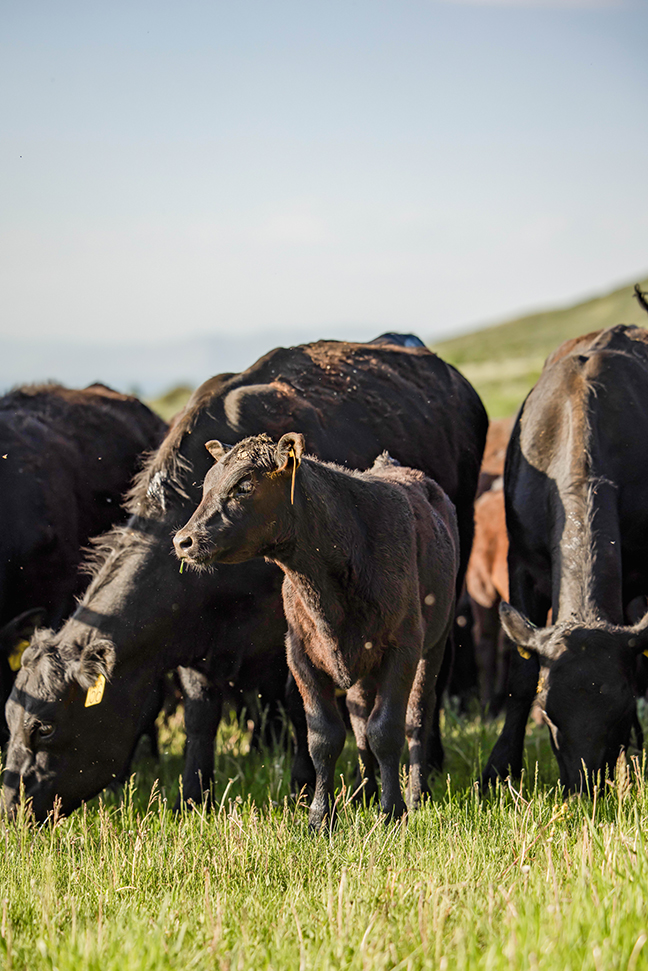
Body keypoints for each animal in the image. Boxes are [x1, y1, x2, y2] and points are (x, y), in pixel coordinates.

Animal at [174, 435, 459, 828]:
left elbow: (386, 730)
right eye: (206, 485)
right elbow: (324, 737)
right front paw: (321, 817)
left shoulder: (402, 648)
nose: (183, 540)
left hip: (434, 644)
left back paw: (417, 795)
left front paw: (392, 812)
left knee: (417, 716)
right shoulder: (301, 654)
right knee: (359, 715)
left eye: (243, 486)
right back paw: (365, 791)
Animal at [481, 325, 648, 793]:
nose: (586, 788)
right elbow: (520, 677)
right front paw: (499, 768)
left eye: (622, 712)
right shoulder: (521, 564)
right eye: (549, 713)